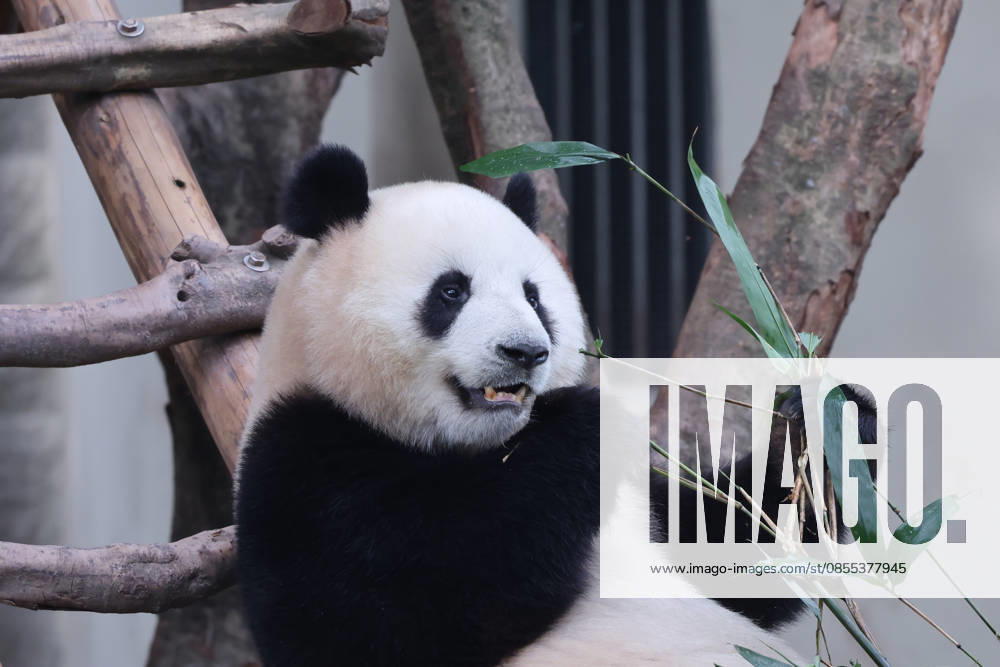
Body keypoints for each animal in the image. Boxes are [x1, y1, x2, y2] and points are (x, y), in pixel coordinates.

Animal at [235, 145, 812, 666]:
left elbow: (728, 541)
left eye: (533, 296)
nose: (525, 351)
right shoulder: (301, 456)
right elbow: (375, 621)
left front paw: (814, 417)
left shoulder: (642, 504)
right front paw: (589, 423)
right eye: (451, 292)